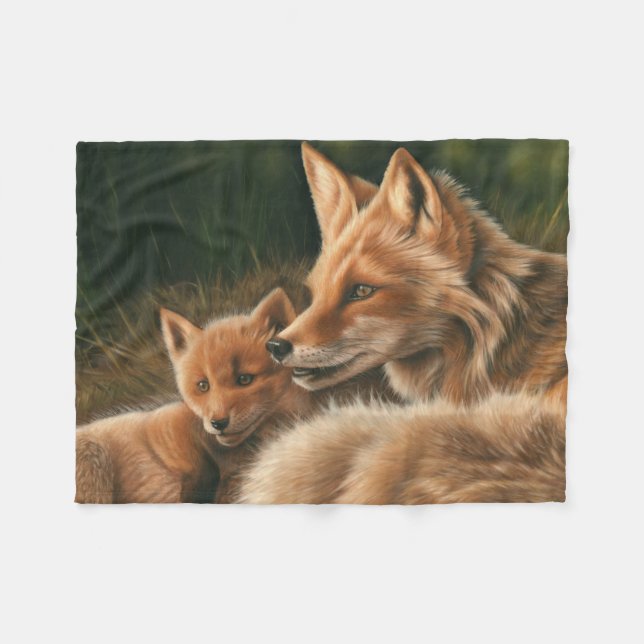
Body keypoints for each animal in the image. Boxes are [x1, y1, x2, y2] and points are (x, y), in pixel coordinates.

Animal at [76, 288, 312, 503]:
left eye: (245, 379)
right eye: (203, 385)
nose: (218, 423)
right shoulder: (164, 425)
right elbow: (199, 468)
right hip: (93, 459)